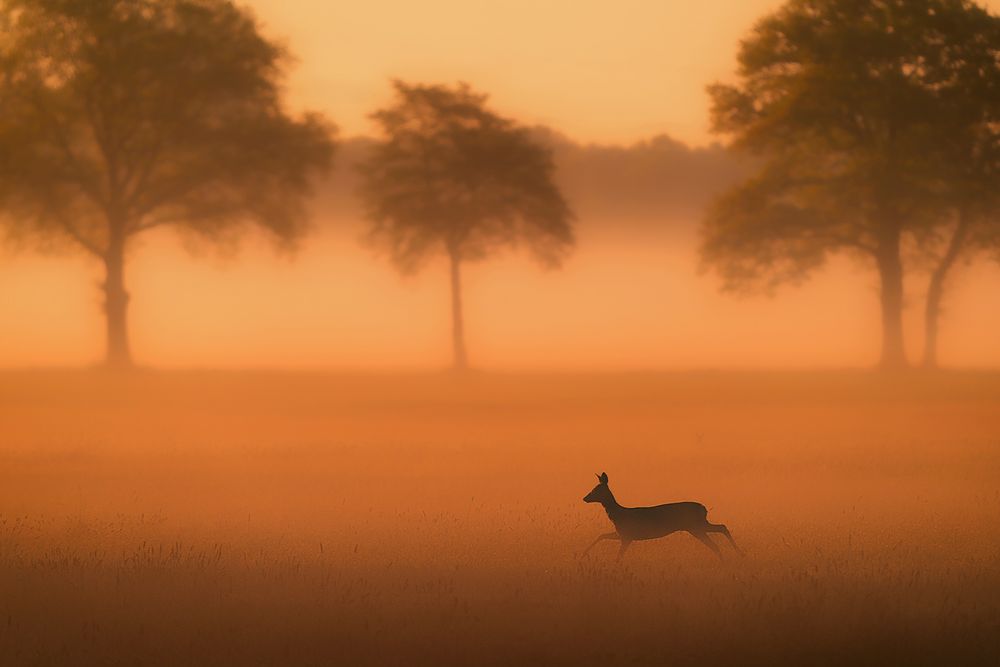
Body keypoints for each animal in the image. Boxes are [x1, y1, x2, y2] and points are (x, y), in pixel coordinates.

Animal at [584, 472, 740, 560]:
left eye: (597, 489)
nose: (585, 498)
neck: (618, 515)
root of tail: (704, 509)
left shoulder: (627, 536)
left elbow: (618, 556)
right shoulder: (622, 534)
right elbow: (601, 536)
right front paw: (583, 554)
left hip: (696, 526)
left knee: (718, 535)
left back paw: (735, 555)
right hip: (698, 526)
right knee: (720, 531)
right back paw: (736, 555)